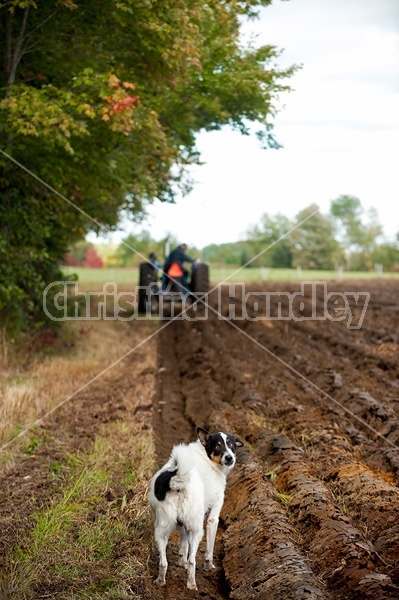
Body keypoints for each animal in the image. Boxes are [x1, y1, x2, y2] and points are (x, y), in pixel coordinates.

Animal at [149, 426, 244, 592]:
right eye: (217, 446)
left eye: (231, 444)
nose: (229, 458)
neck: (206, 456)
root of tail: (175, 480)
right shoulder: (213, 517)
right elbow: (209, 550)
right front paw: (209, 566)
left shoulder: (184, 523)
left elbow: (183, 545)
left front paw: (181, 562)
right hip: (197, 530)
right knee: (193, 560)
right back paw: (191, 584)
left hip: (162, 529)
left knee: (163, 562)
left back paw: (160, 581)